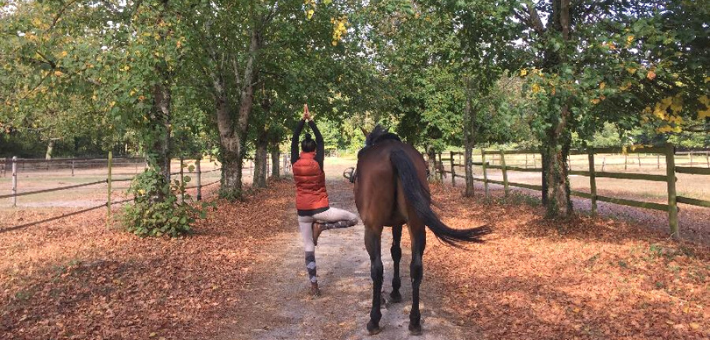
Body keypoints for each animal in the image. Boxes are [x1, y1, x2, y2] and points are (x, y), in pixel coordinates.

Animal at [354, 125, 492, 334]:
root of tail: (393, 152)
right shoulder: (398, 223)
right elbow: (396, 252)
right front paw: (396, 291)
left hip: (373, 229)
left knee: (377, 269)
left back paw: (374, 320)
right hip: (417, 226)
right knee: (416, 267)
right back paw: (415, 320)